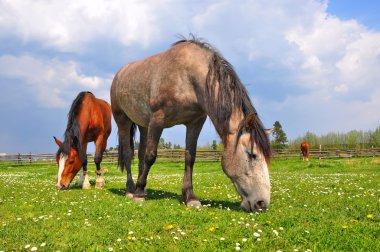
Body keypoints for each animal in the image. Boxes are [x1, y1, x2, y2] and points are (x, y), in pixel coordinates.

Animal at [111, 36, 272, 212]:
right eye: (252, 154)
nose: (262, 203)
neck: (187, 77)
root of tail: (119, 74)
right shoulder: (157, 120)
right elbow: (151, 155)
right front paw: (139, 194)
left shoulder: (195, 122)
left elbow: (190, 157)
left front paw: (190, 197)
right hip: (123, 120)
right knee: (128, 154)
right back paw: (131, 190)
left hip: (143, 125)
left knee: (139, 154)